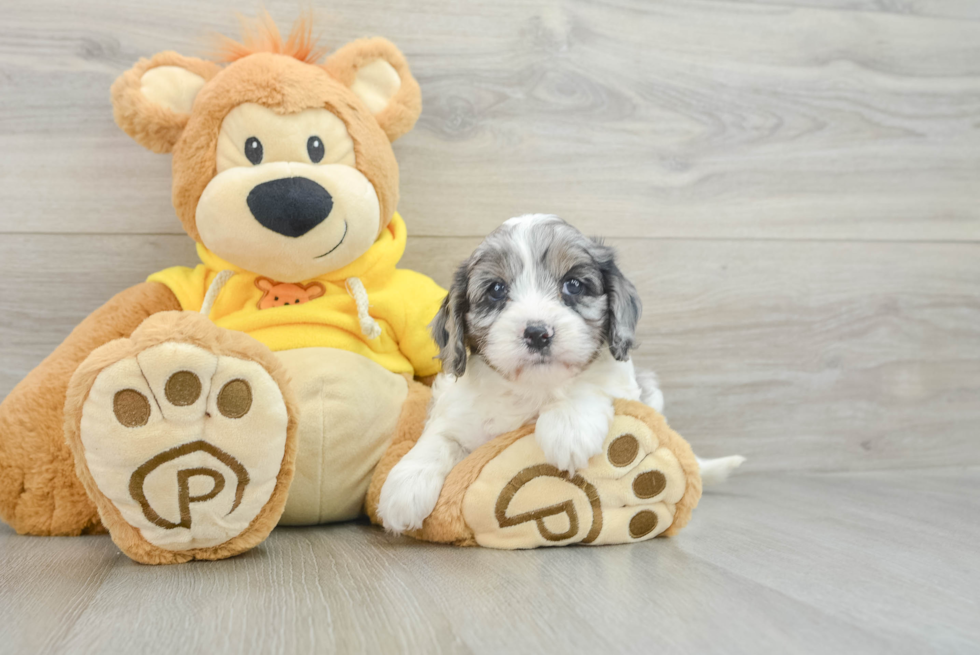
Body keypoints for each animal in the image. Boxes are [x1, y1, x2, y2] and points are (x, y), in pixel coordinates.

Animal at [378, 215, 744, 532]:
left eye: (573, 284)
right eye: (496, 289)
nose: (537, 333)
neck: (533, 389)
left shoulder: (622, 382)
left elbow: (587, 384)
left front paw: (568, 425)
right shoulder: (457, 410)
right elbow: (438, 439)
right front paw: (405, 485)